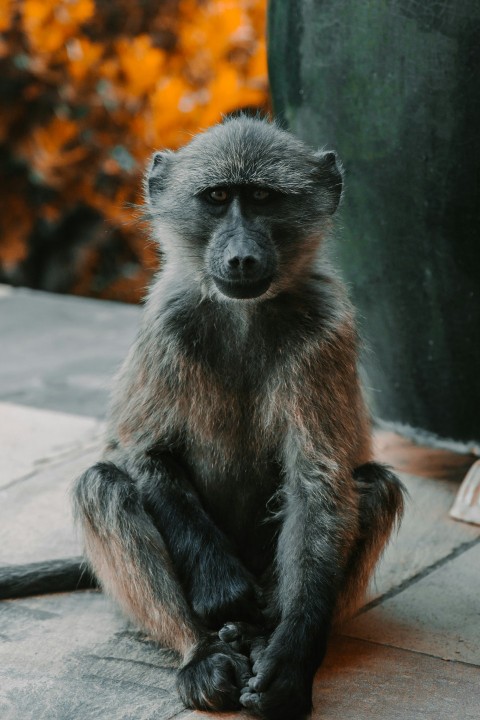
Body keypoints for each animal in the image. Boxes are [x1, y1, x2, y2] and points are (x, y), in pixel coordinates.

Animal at [73, 116, 405, 720]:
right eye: (218, 197)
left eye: (264, 199)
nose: (243, 259)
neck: (244, 314)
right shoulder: (165, 323)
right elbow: (138, 451)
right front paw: (221, 591)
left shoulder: (326, 332)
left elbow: (317, 481)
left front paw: (289, 661)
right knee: (102, 485)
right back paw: (205, 653)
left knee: (372, 486)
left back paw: (264, 634)